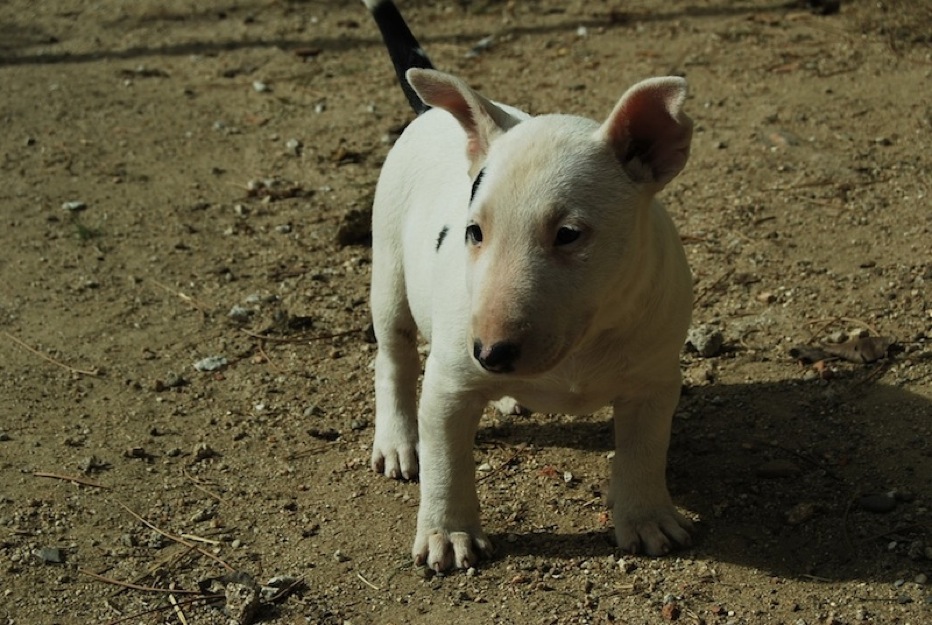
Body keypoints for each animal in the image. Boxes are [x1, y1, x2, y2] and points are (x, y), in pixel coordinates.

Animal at [364, 0, 692, 572]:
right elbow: (447, 461)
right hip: (388, 267)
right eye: (473, 231)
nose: (490, 354)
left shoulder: (655, 379)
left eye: (568, 234)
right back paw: (399, 441)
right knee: (394, 356)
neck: (580, 347)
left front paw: (648, 520)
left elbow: (644, 451)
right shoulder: (448, 383)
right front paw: (448, 536)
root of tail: (430, 113)